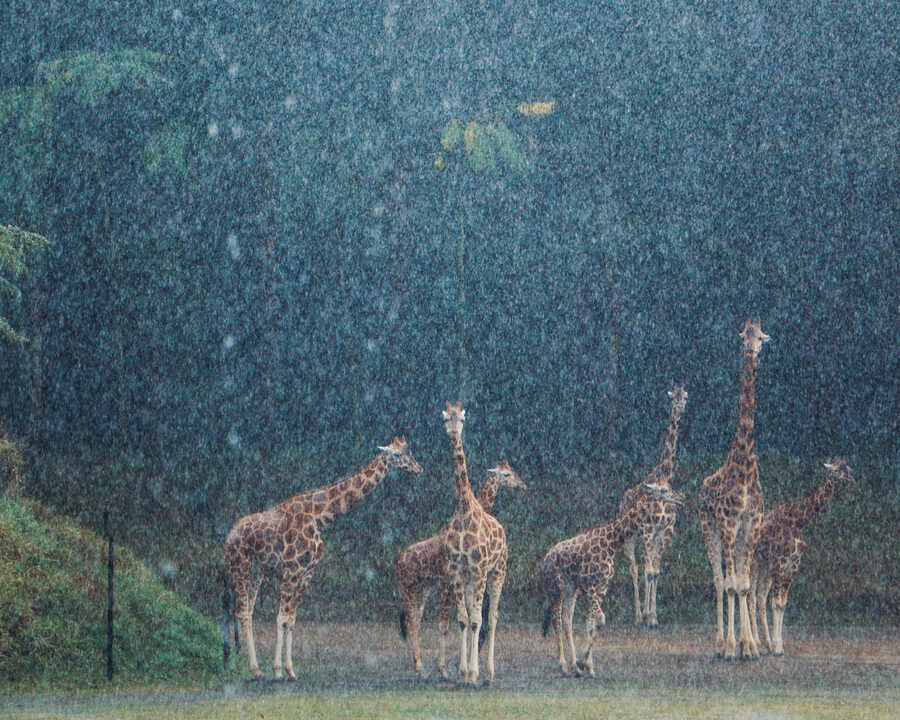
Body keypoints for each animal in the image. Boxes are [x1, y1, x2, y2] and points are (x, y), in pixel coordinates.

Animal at [223, 437, 423, 679]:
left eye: (409, 451)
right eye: (396, 455)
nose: (418, 468)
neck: (320, 518)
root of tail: (228, 536)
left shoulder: (307, 572)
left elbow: (291, 620)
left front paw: (290, 670)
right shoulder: (291, 570)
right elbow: (281, 618)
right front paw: (278, 670)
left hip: (256, 571)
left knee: (248, 612)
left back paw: (256, 668)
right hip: (239, 566)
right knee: (242, 611)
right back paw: (254, 668)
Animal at [396, 461, 526, 680]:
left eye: (514, 472)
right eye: (508, 475)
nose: (522, 485)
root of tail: (398, 562)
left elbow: (464, 619)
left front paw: (458, 666)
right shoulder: (449, 585)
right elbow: (447, 624)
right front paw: (446, 668)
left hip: (423, 590)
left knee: (415, 621)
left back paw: (421, 668)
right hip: (409, 589)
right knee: (411, 621)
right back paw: (421, 669)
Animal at [540, 482, 685, 677]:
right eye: (663, 490)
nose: (680, 498)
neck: (611, 543)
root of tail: (544, 560)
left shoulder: (602, 586)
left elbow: (592, 624)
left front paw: (587, 665)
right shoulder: (588, 584)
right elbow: (600, 619)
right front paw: (583, 661)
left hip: (570, 589)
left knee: (566, 621)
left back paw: (574, 667)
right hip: (554, 588)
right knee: (557, 620)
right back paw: (563, 667)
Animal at [620, 383, 687, 628]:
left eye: (685, 396)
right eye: (672, 397)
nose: (680, 407)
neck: (663, 477)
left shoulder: (665, 530)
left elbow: (656, 571)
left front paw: (655, 617)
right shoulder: (648, 529)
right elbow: (648, 571)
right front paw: (647, 617)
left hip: (647, 537)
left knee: (645, 567)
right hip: (631, 538)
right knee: (634, 568)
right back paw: (638, 616)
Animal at [750, 458, 855, 656]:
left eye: (847, 469)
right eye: (836, 470)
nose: (851, 480)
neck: (799, 522)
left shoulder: (793, 565)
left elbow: (782, 604)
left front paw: (778, 646)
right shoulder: (780, 563)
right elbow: (775, 603)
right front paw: (777, 648)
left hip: (765, 568)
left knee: (759, 598)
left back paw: (765, 644)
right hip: (752, 564)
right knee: (748, 596)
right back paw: (754, 644)